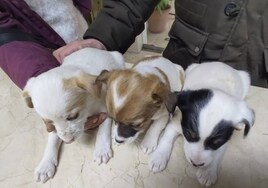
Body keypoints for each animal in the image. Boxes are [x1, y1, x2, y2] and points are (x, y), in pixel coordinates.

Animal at [22, 47, 125, 183]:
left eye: (73, 117)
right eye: (49, 123)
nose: (68, 141)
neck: (88, 105)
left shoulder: (106, 108)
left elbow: (103, 129)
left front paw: (101, 149)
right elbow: (53, 139)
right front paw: (45, 165)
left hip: (119, 59)